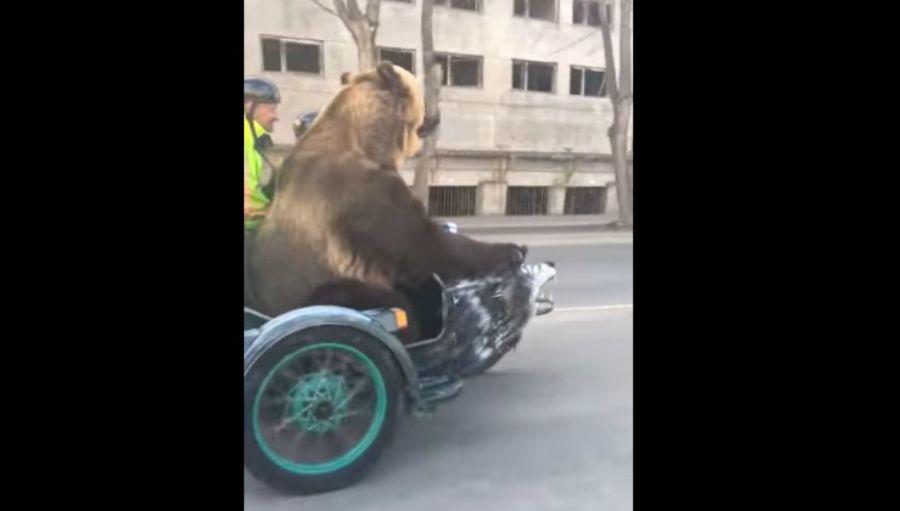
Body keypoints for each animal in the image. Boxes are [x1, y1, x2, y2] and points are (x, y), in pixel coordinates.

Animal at [246, 63, 528, 344]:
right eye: (423, 94)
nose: (437, 114)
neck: (372, 141)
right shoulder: (363, 197)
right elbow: (421, 244)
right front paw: (512, 249)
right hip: (318, 292)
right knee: (381, 302)